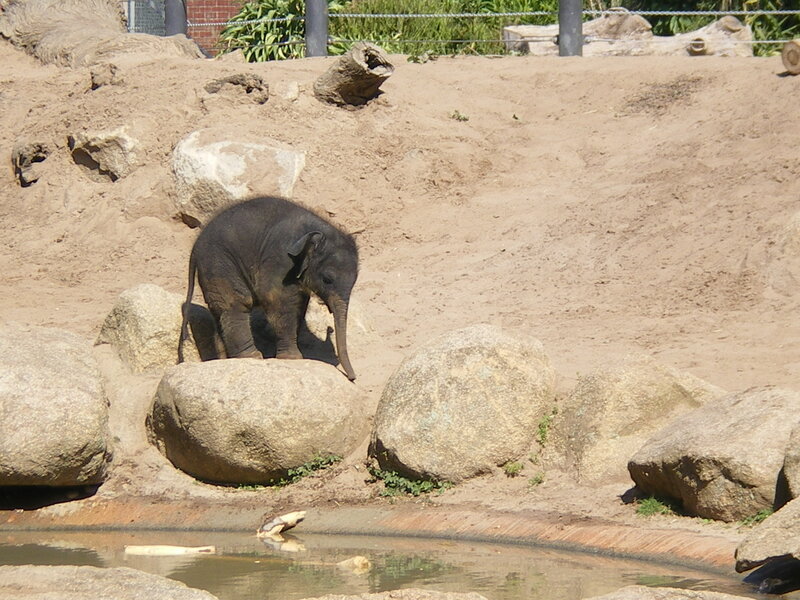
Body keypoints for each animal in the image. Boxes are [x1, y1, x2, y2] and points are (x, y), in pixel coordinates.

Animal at [178, 196, 359, 381]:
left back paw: (226, 359)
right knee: (236, 305)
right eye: (327, 279)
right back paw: (252, 357)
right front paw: (293, 358)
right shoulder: (279, 259)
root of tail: (195, 246)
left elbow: (299, 304)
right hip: (219, 263)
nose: (352, 378)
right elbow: (276, 300)